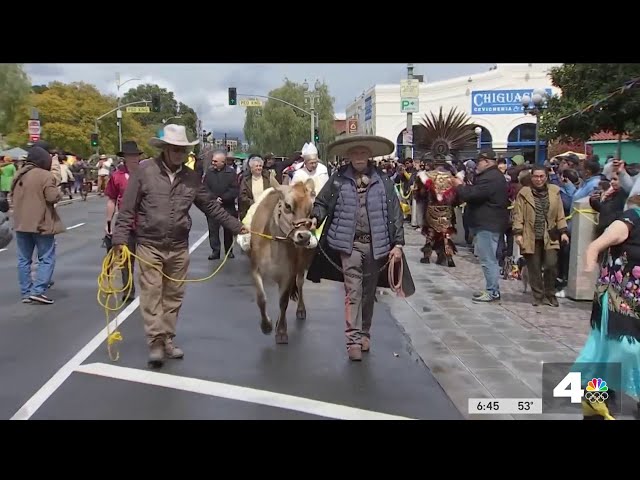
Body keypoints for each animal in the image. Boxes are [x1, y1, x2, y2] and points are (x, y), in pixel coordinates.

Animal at [251, 178, 318, 344]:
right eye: (288, 206)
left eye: (310, 209)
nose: (304, 236)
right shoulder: (255, 268)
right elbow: (261, 298)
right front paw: (266, 326)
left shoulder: (288, 274)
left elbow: (283, 302)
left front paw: (281, 331)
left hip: (302, 265)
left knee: (299, 284)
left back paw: (300, 309)